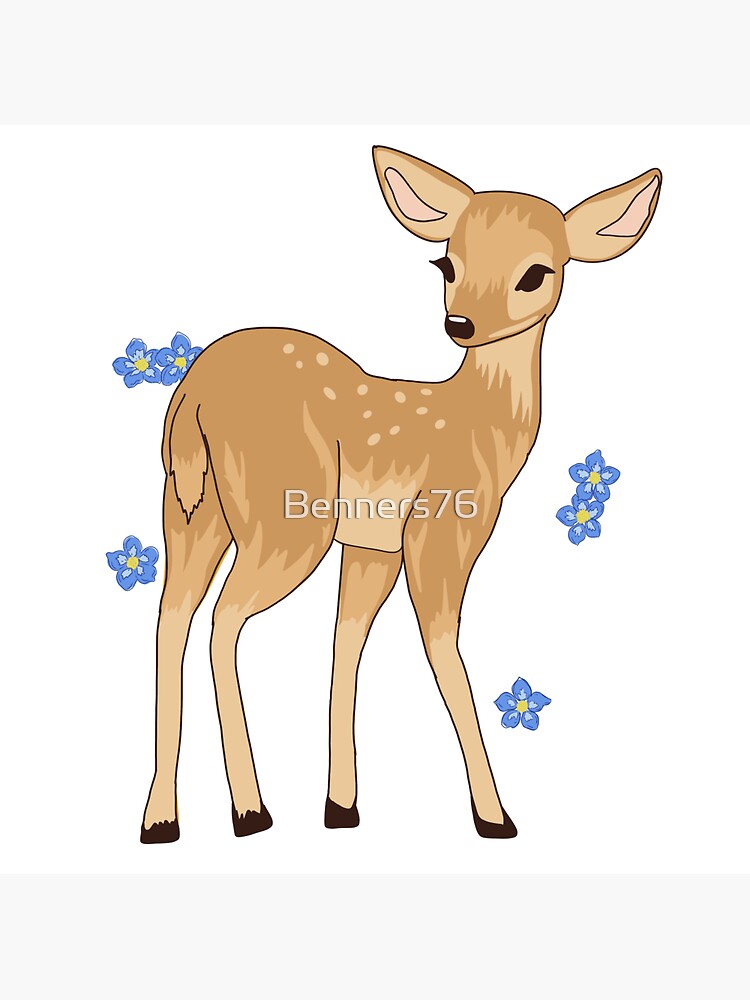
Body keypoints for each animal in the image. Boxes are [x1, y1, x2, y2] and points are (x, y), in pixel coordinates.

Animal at [140, 146, 661, 843]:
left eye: (535, 273)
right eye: (447, 263)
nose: (460, 322)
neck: (480, 432)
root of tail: (191, 390)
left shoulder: (374, 546)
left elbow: (345, 644)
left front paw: (341, 806)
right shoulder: (442, 531)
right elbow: (443, 652)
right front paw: (494, 816)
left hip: (192, 509)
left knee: (172, 619)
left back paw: (161, 819)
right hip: (288, 517)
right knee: (222, 621)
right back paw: (250, 811)